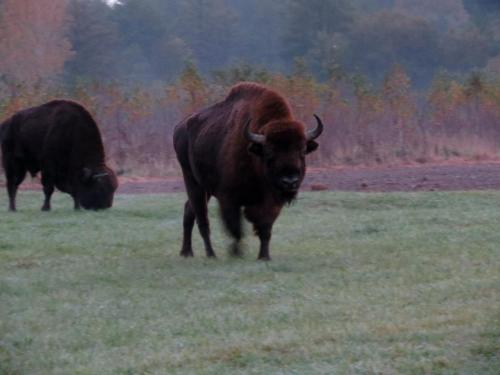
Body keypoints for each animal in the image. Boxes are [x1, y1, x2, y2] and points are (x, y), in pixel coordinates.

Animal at [173, 82, 324, 260]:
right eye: (269, 152)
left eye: (302, 150)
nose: (290, 182)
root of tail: (180, 126)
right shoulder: (229, 198)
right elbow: (236, 229)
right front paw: (236, 253)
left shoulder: (271, 202)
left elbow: (265, 228)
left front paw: (264, 256)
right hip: (192, 181)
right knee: (202, 219)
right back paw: (211, 254)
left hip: (205, 188)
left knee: (189, 210)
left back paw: (186, 252)